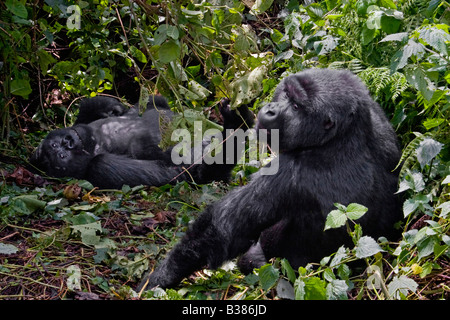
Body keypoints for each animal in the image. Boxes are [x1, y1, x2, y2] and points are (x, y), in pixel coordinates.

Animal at [29, 96, 255, 189]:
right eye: (59, 153)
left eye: (59, 144)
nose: (68, 142)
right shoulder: (99, 169)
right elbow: (178, 171)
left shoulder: (82, 123)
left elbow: (91, 106)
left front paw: (113, 108)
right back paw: (237, 122)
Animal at [137, 68, 400, 290]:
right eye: (286, 94)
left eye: (296, 106)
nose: (272, 109)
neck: (340, 135)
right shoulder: (374, 109)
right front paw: (236, 119)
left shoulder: (291, 173)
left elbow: (220, 229)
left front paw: (157, 279)